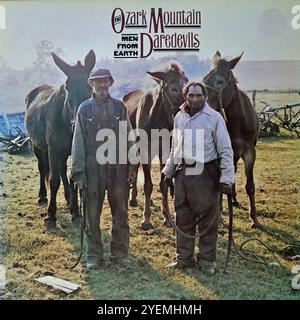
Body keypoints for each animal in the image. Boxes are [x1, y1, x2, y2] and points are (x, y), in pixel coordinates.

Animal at [25, 50, 96, 226]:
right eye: (68, 88)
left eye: (90, 88)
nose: (77, 126)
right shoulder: (54, 149)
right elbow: (53, 180)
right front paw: (51, 214)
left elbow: (73, 179)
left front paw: (75, 211)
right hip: (37, 146)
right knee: (43, 168)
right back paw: (43, 196)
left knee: (63, 170)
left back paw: (68, 198)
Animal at [122, 62, 188, 229]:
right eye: (173, 88)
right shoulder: (146, 152)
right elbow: (148, 185)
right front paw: (146, 219)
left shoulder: (165, 153)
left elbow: (163, 185)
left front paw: (168, 218)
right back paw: (133, 198)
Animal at [203, 52, 262, 228]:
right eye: (204, 79)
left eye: (220, 81)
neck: (239, 121)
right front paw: (219, 215)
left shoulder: (250, 152)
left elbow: (250, 186)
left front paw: (254, 218)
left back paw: (234, 198)